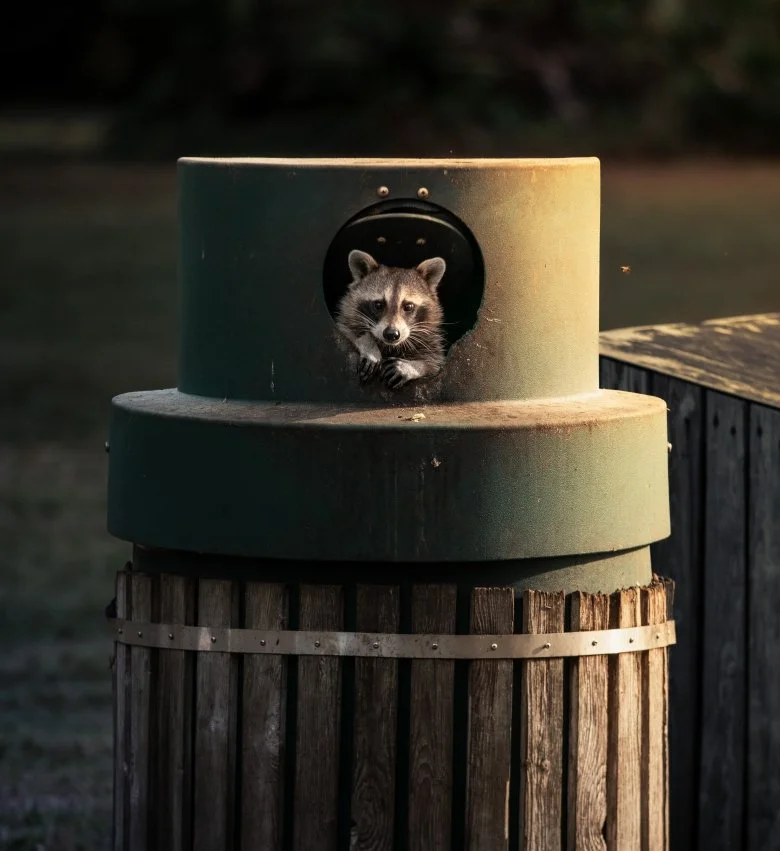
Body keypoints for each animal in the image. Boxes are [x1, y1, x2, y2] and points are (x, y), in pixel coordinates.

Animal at [335, 249, 447, 389]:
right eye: (378, 305)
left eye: (408, 306)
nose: (391, 334)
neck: (391, 346)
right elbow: (346, 328)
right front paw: (368, 343)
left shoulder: (430, 341)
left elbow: (434, 365)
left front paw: (413, 366)